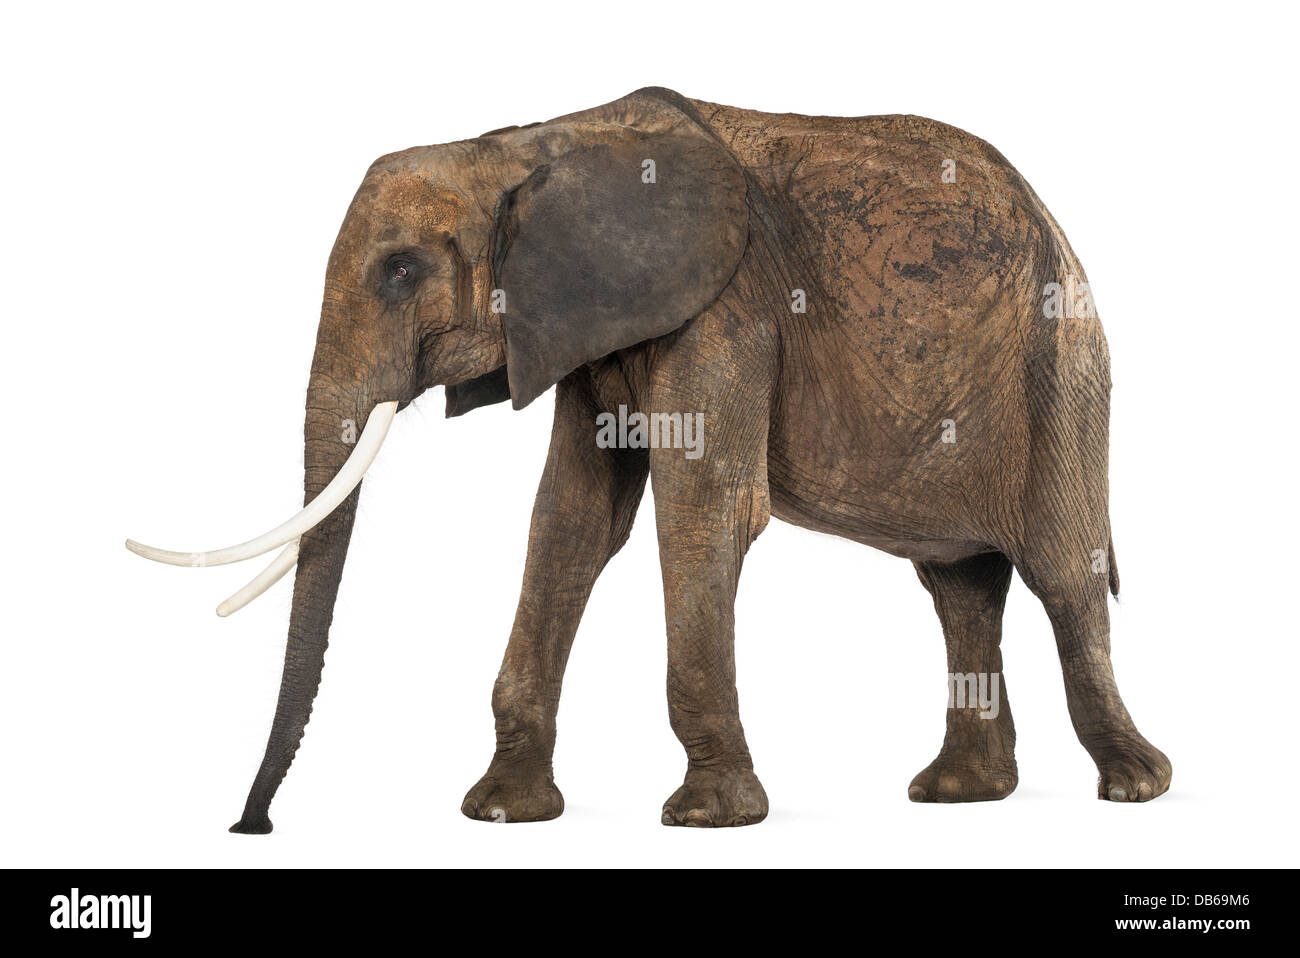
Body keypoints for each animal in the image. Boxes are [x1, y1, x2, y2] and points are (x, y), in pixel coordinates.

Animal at [126, 87, 1175, 831]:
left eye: (400, 271)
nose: (251, 826)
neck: (527, 144)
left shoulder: (725, 315)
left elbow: (708, 508)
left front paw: (709, 818)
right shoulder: (583, 332)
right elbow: (574, 522)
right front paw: (502, 813)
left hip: (1061, 368)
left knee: (1063, 571)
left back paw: (1134, 788)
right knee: (958, 584)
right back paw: (959, 795)